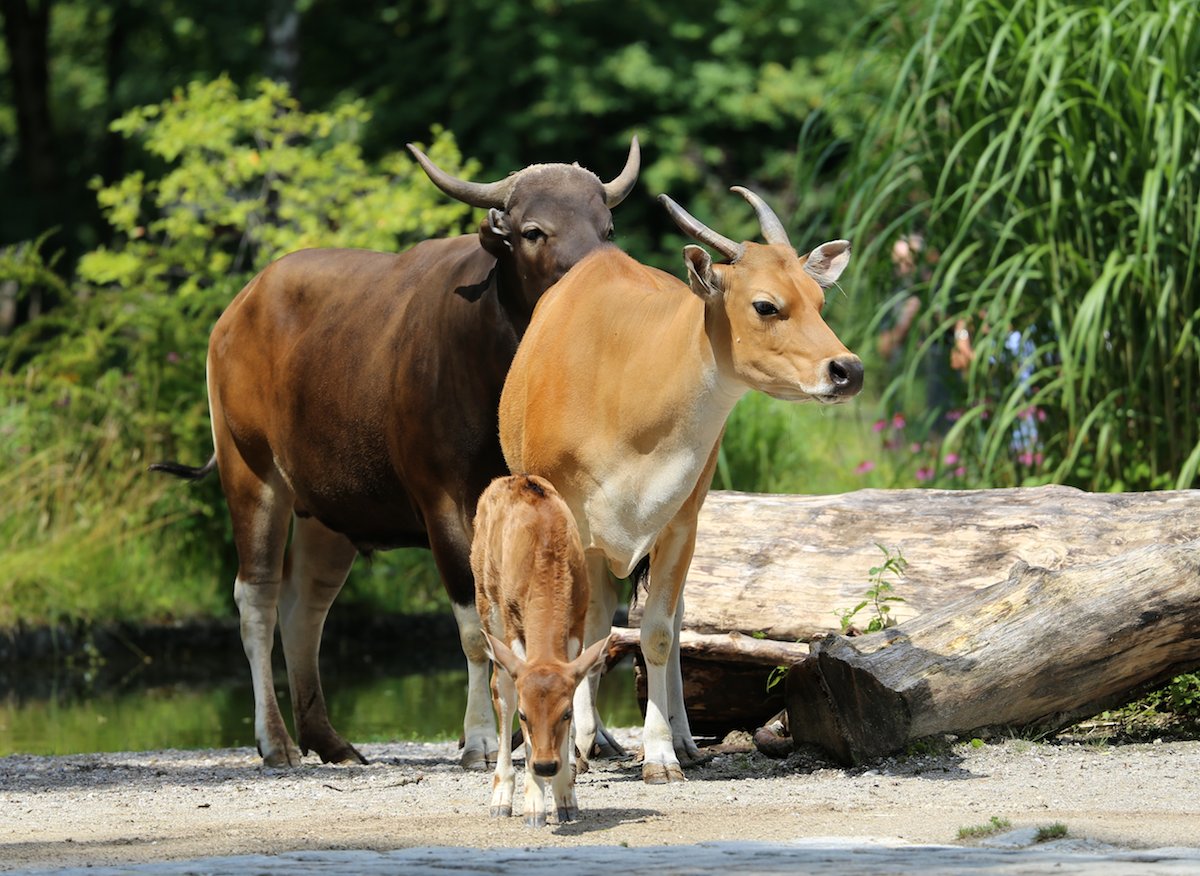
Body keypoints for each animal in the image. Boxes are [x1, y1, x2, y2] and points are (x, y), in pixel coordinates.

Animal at [154, 138, 643, 763]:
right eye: (534, 230)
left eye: (607, 227)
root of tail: (238, 308)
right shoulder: (444, 504)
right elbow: (475, 627)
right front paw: (481, 738)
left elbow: (574, 620)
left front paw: (589, 735)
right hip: (251, 471)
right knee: (256, 598)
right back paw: (276, 741)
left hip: (329, 509)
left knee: (304, 605)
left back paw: (327, 738)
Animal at [470, 475, 609, 820]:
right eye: (524, 715)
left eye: (566, 713)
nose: (545, 765)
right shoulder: (513, 624)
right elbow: (511, 690)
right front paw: (534, 805)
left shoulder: (577, 624)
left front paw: (567, 799)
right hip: (487, 604)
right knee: (499, 686)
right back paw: (501, 799)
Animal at [499, 187, 864, 782]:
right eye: (766, 305)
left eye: (819, 300)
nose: (847, 370)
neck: (627, 397)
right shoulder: (566, 523)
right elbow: (570, 631)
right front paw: (569, 747)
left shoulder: (678, 525)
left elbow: (659, 632)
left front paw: (662, 754)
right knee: (593, 623)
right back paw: (587, 737)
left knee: (667, 619)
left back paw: (681, 739)